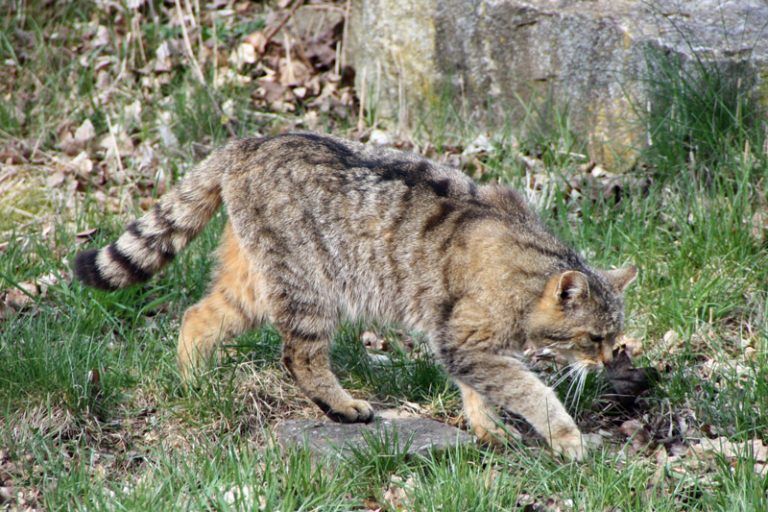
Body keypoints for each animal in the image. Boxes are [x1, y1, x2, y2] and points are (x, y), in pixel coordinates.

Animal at [73, 132, 636, 460]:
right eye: (593, 338)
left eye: (615, 336)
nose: (612, 360)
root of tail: (252, 141)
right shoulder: (469, 341)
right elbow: (528, 390)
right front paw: (566, 437)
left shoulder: (465, 340)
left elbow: (480, 390)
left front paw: (488, 428)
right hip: (309, 285)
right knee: (298, 356)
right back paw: (341, 406)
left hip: (253, 284)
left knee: (198, 314)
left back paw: (193, 379)